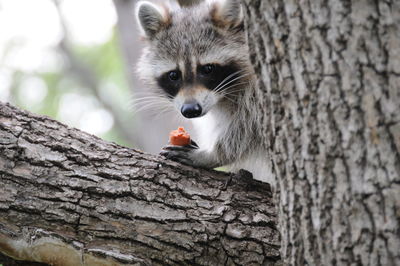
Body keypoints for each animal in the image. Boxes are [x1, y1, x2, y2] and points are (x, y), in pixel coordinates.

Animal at [135, 0, 272, 183]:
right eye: (173, 75)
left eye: (207, 69)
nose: (190, 110)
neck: (226, 94)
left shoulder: (257, 91)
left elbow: (248, 128)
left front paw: (213, 154)